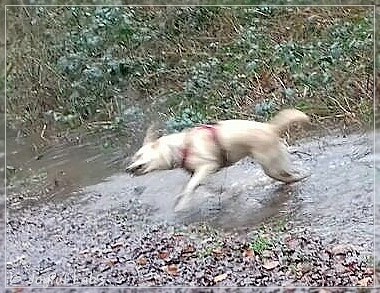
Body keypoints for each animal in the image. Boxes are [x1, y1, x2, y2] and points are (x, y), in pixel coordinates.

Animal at [126, 107, 310, 210]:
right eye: (134, 157)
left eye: (139, 156)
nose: (127, 169)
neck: (181, 146)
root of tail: (271, 128)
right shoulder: (199, 173)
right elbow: (203, 186)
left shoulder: (207, 166)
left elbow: (189, 187)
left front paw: (181, 204)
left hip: (270, 166)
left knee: (289, 175)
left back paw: (299, 177)